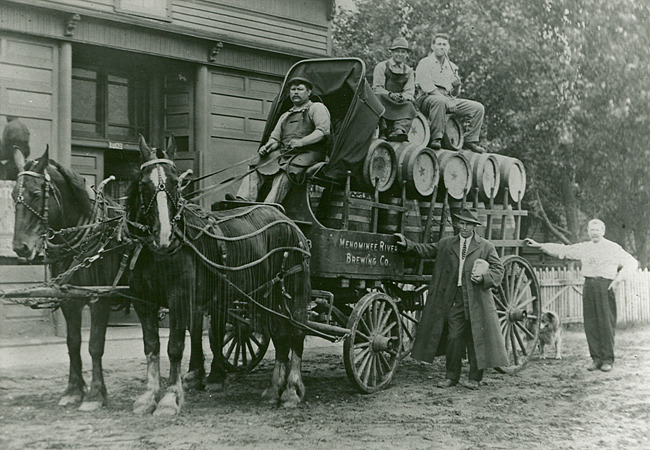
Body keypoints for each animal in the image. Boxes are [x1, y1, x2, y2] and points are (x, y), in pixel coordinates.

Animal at [12, 149, 128, 410]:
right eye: (13, 195)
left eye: (36, 194)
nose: (20, 247)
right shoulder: (68, 298)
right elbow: (73, 342)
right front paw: (74, 391)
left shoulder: (99, 298)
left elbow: (95, 345)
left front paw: (95, 395)